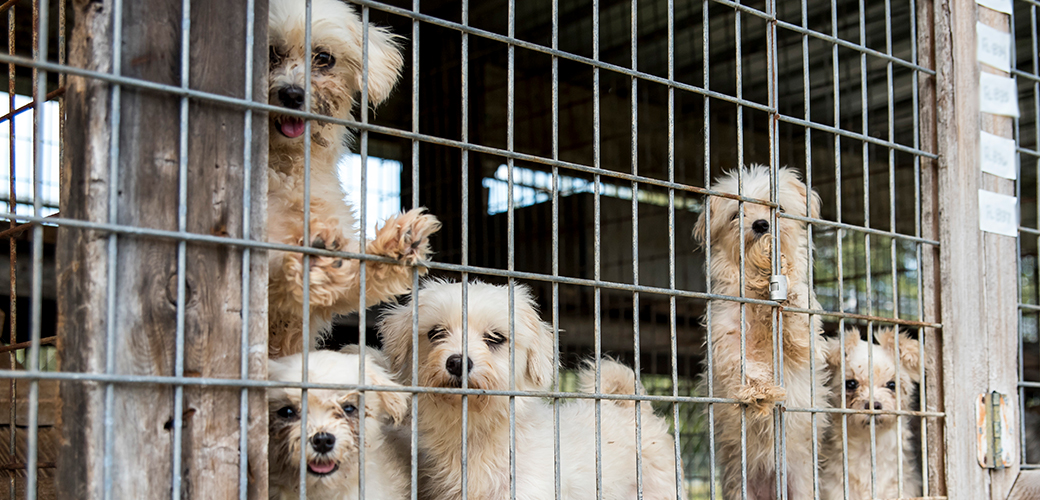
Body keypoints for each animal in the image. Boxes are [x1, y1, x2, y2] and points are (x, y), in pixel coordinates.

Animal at [266, 0, 440, 357]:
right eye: (271, 52)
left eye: (324, 57)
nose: (292, 93)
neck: (287, 166)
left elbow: (356, 272)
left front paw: (396, 244)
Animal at [694, 164, 832, 498]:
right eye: (736, 214)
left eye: (777, 208)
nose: (761, 224)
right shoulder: (726, 333)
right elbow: (742, 362)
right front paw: (760, 390)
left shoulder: (805, 346)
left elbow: (800, 328)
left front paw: (787, 285)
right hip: (738, 485)